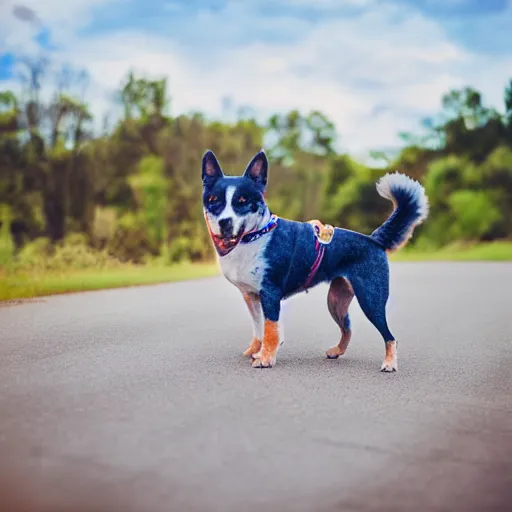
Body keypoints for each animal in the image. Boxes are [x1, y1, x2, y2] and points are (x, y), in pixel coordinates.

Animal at [201, 150, 428, 370]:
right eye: (214, 200)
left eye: (242, 201)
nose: (225, 222)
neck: (256, 235)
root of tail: (374, 240)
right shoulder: (250, 296)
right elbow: (259, 328)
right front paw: (256, 351)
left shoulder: (270, 293)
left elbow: (271, 330)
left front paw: (265, 358)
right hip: (336, 301)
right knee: (348, 329)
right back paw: (336, 351)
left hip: (371, 298)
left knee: (390, 336)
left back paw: (389, 363)